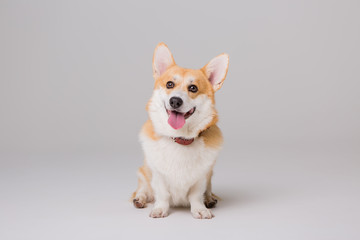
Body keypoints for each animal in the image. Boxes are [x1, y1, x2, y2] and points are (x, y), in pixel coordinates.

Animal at [131, 43, 229, 219]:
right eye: (169, 84)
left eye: (193, 88)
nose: (175, 101)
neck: (180, 138)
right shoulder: (157, 175)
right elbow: (162, 194)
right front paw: (160, 209)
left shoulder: (201, 177)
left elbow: (196, 195)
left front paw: (200, 209)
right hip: (143, 171)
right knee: (142, 188)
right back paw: (140, 199)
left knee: (208, 190)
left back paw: (209, 199)